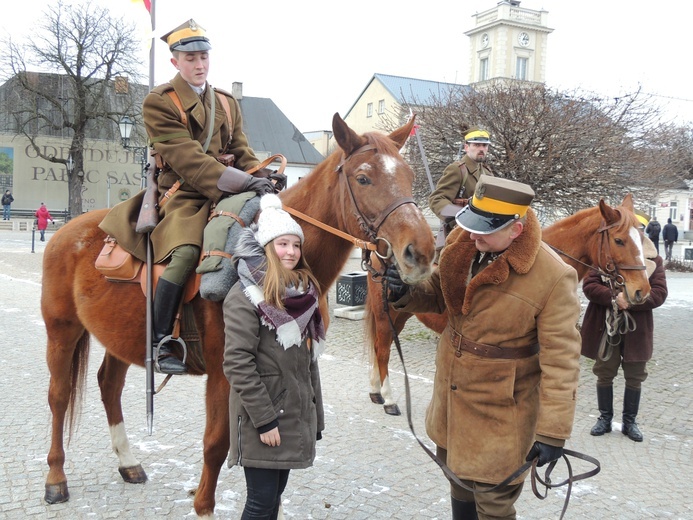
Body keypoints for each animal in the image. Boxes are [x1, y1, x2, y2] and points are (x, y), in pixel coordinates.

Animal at [40, 112, 432, 516]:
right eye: (364, 177)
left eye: (409, 176)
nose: (421, 252)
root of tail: (68, 231)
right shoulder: (225, 374)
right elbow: (216, 444)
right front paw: (204, 508)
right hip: (61, 330)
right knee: (58, 396)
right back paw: (56, 479)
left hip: (121, 336)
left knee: (108, 386)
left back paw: (128, 462)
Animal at [364, 192, 652, 414]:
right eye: (619, 240)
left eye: (641, 237)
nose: (641, 290)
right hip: (386, 313)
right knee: (383, 349)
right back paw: (388, 398)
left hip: (400, 314)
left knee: (379, 346)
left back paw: (376, 390)